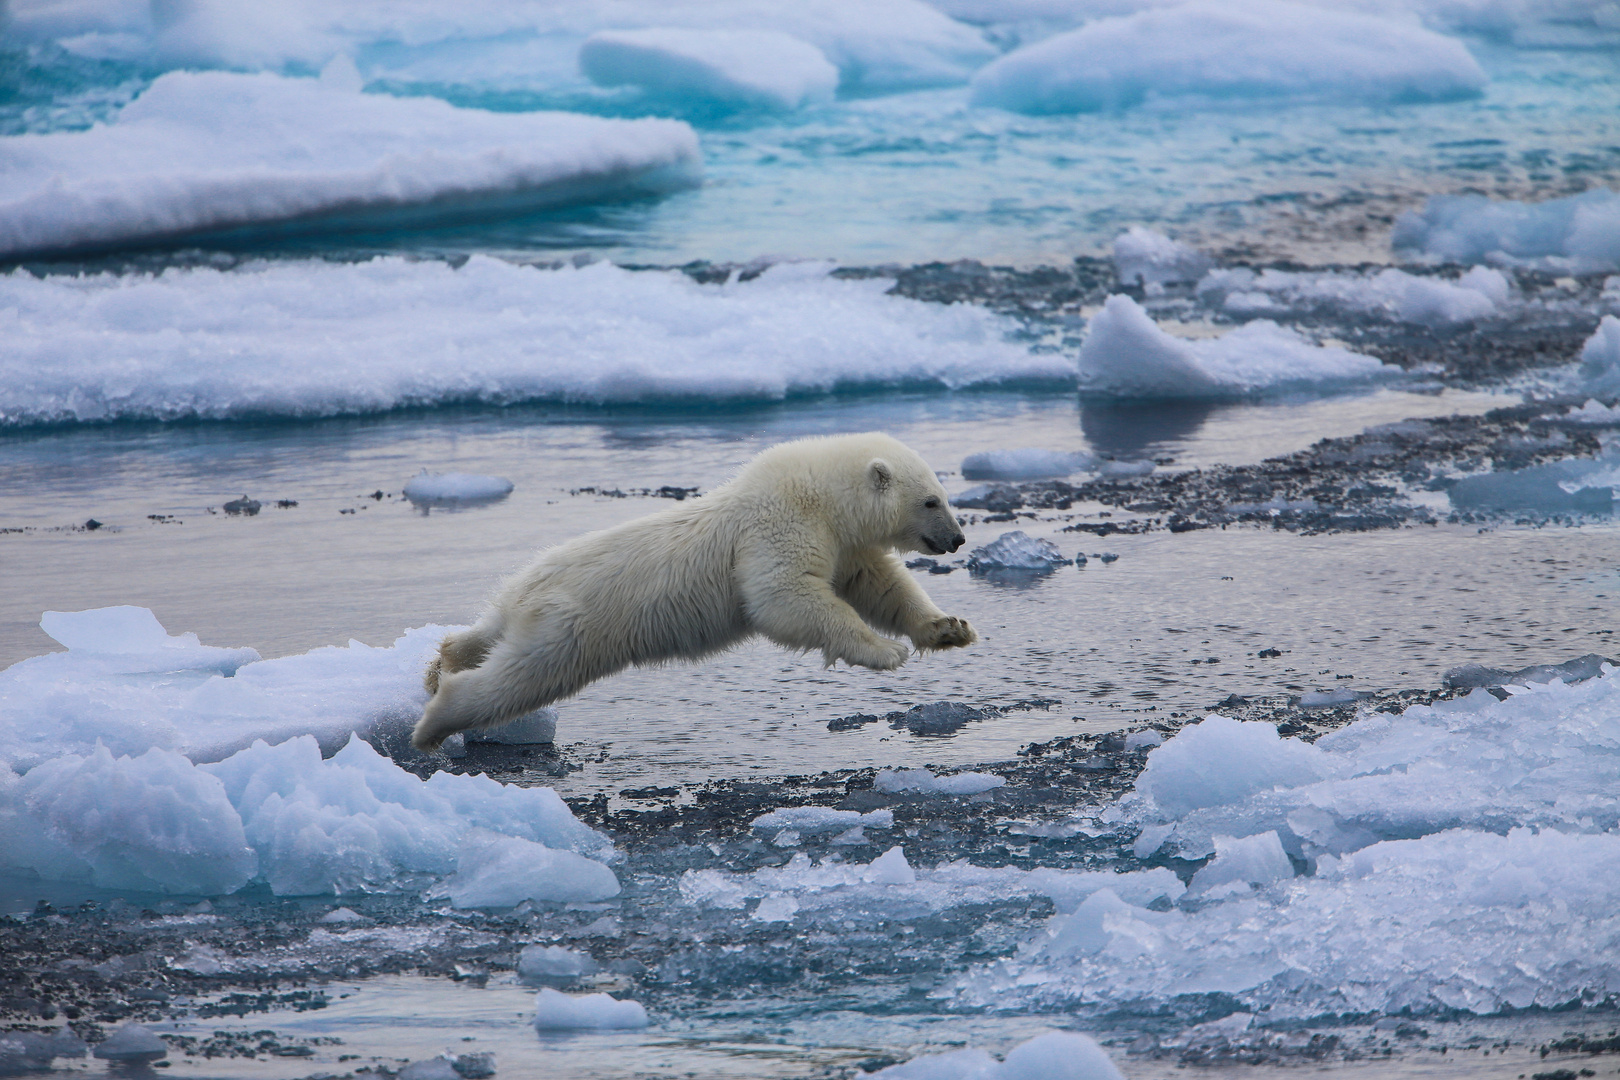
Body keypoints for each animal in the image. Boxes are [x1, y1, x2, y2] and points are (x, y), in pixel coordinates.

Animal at [414, 430, 972, 751]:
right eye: (931, 501)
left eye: (945, 496)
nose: (958, 538)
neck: (820, 495)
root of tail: (527, 593)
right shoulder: (777, 526)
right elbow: (781, 598)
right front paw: (886, 651)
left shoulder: (844, 543)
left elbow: (879, 585)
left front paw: (949, 628)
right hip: (572, 625)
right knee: (525, 675)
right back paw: (434, 723)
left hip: (525, 605)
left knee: (486, 637)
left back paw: (442, 663)